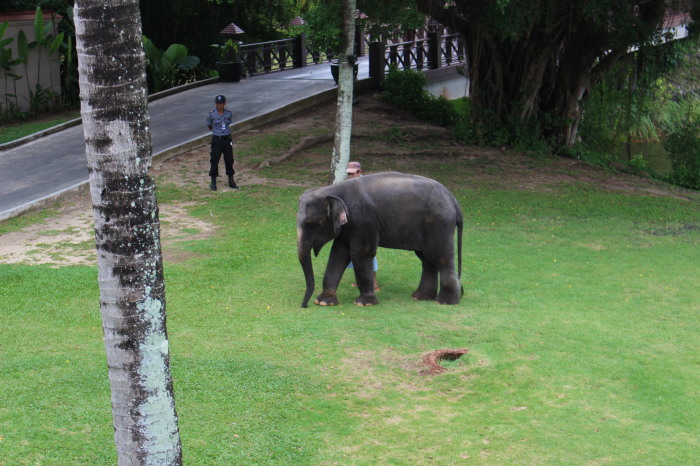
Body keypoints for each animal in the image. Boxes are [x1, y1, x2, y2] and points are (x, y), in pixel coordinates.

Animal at [296, 169, 464, 308]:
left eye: (310, 224)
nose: (304, 306)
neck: (332, 190)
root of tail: (454, 200)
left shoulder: (363, 221)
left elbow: (361, 254)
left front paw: (364, 303)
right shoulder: (347, 227)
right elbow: (338, 254)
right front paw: (323, 302)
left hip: (439, 224)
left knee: (441, 258)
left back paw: (444, 301)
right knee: (427, 259)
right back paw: (421, 297)